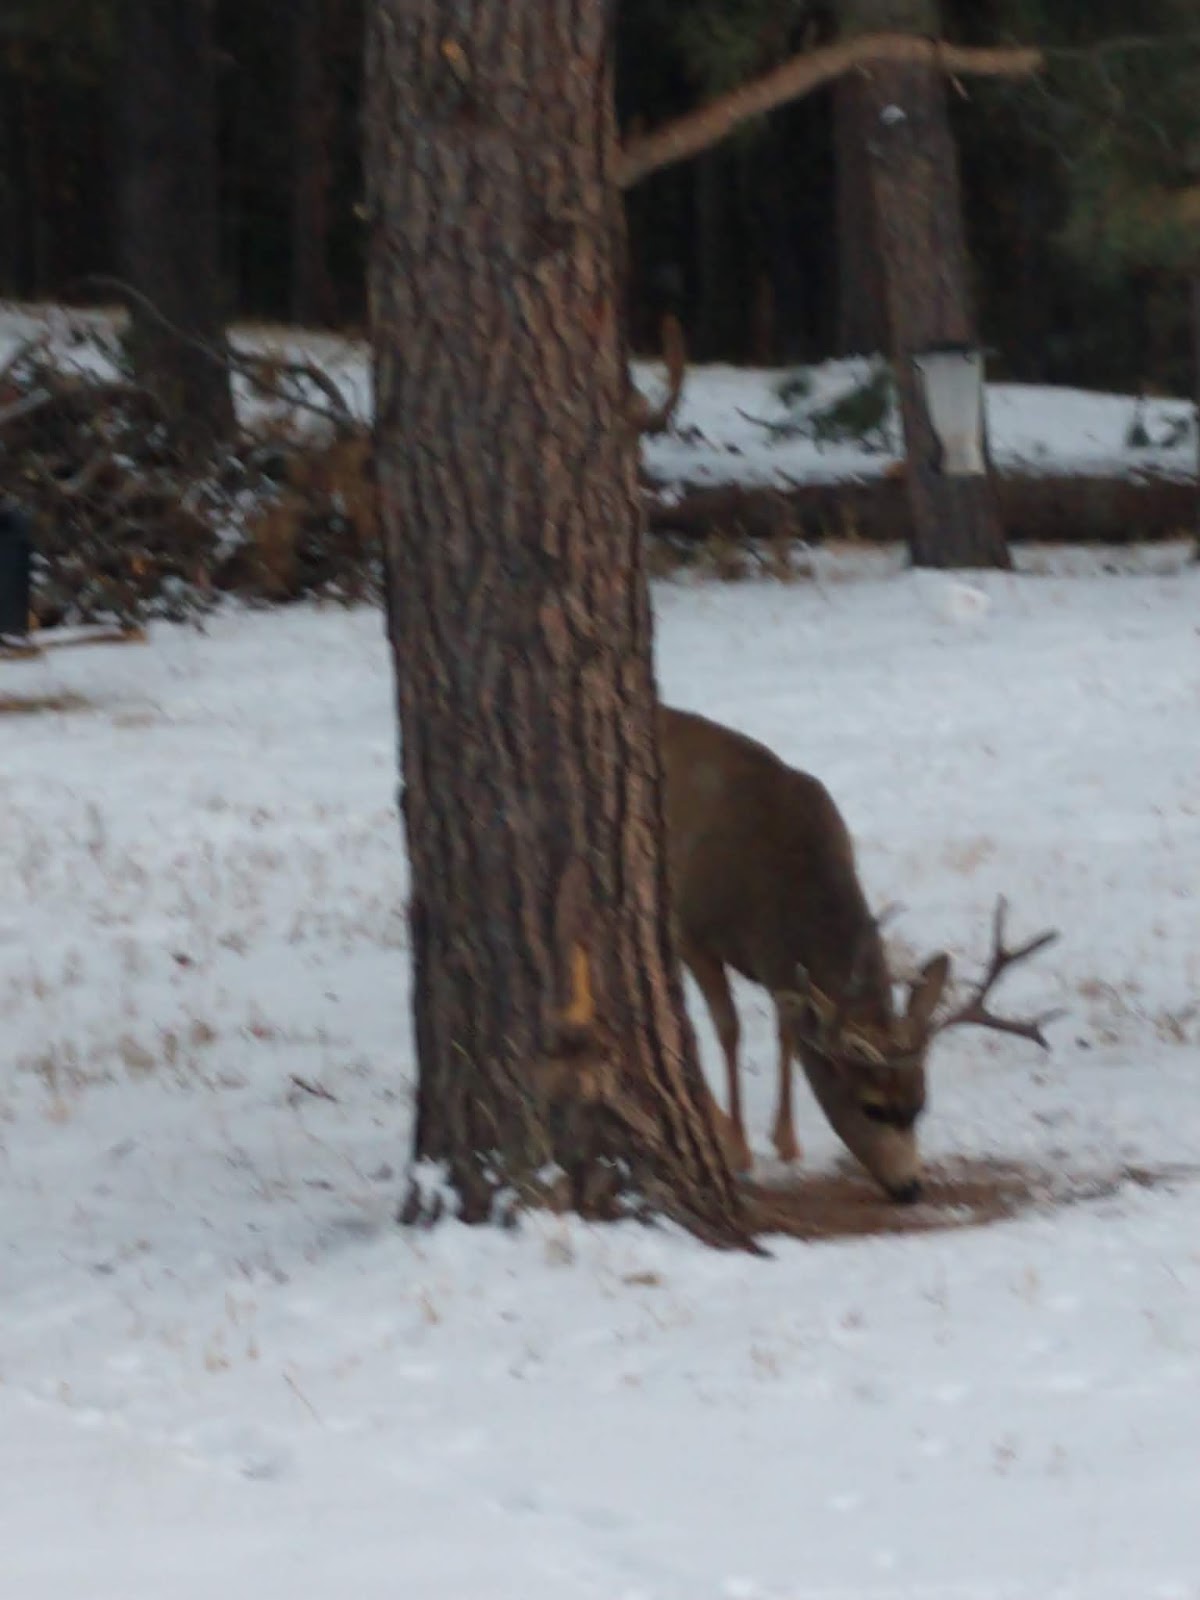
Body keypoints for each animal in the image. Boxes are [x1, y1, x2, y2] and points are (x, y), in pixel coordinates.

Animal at [658, 705, 1060, 1203]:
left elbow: (787, 1034)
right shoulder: (690, 929)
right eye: (872, 1107)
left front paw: (786, 1142)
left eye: (920, 1104)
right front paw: (737, 1148)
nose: (910, 1188)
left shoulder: (780, 970)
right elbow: (727, 1028)